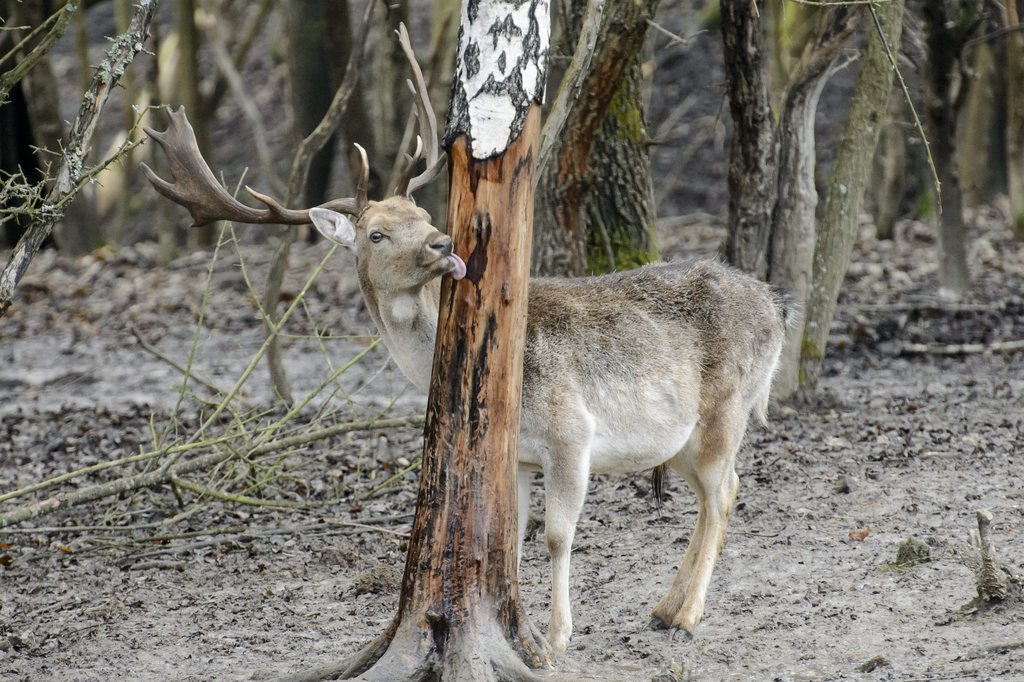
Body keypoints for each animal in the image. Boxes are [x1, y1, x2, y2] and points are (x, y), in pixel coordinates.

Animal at [140, 22, 790, 655]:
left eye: (422, 215)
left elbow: (557, 536)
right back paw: (664, 609)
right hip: (681, 437)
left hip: (726, 410)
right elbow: (514, 540)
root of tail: (778, 307)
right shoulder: (522, 453)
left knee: (724, 492)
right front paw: (520, 625)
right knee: (717, 493)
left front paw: (557, 637)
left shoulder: (571, 432)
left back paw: (687, 615)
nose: (442, 242)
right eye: (376, 234)